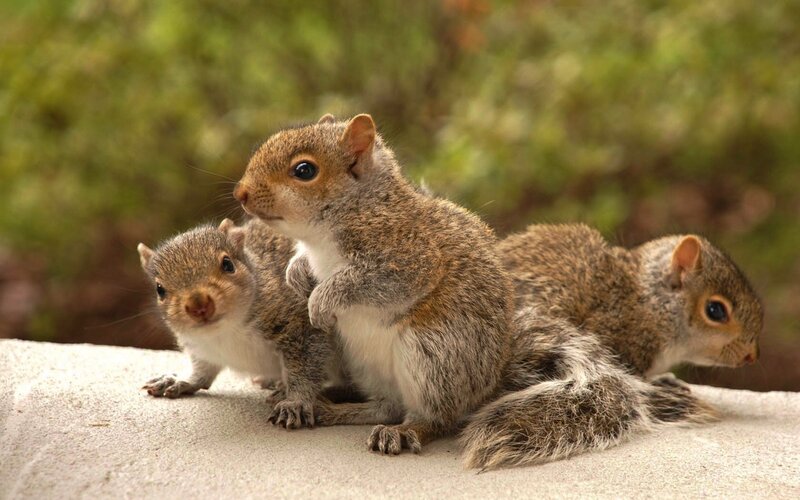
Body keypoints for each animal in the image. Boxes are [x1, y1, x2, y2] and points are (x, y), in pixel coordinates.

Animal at [137, 218, 337, 428]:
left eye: (228, 264)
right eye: (160, 289)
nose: (198, 305)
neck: (225, 331)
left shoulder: (299, 324)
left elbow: (305, 367)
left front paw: (295, 401)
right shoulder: (202, 348)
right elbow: (202, 370)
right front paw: (181, 380)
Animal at [233, 113, 514, 455]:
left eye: (304, 171)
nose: (241, 193)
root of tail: (484, 390)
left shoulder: (410, 258)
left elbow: (366, 282)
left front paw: (320, 300)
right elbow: (300, 261)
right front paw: (296, 274)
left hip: (433, 356)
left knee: (436, 418)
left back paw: (406, 430)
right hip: (362, 360)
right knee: (386, 407)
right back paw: (335, 409)